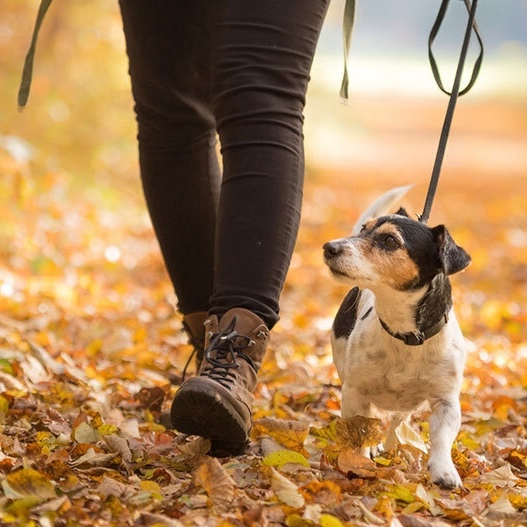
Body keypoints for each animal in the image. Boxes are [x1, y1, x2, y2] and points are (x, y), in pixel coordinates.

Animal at [324, 187, 472, 490]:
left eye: (390, 241)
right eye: (363, 229)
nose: (329, 247)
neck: (405, 336)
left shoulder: (446, 402)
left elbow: (441, 438)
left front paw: (445, 471)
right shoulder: (355, 393)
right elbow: (360, 429)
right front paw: (359, 459)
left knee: (398, 419)